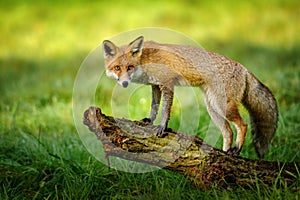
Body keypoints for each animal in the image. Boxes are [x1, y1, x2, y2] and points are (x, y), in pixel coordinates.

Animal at [103, 36, 278, 158]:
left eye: (130, 67)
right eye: (117, 68)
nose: (124, 83)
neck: (146, 59)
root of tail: (244, 69)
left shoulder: (167, 84)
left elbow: (165, 110)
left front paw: (162, 127)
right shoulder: (156, 86)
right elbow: (154, 107)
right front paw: (148, 121)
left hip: (222, 106)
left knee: (243, 125)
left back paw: (236, 150)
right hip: (212, 108)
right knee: (228, 132)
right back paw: (223, 155)